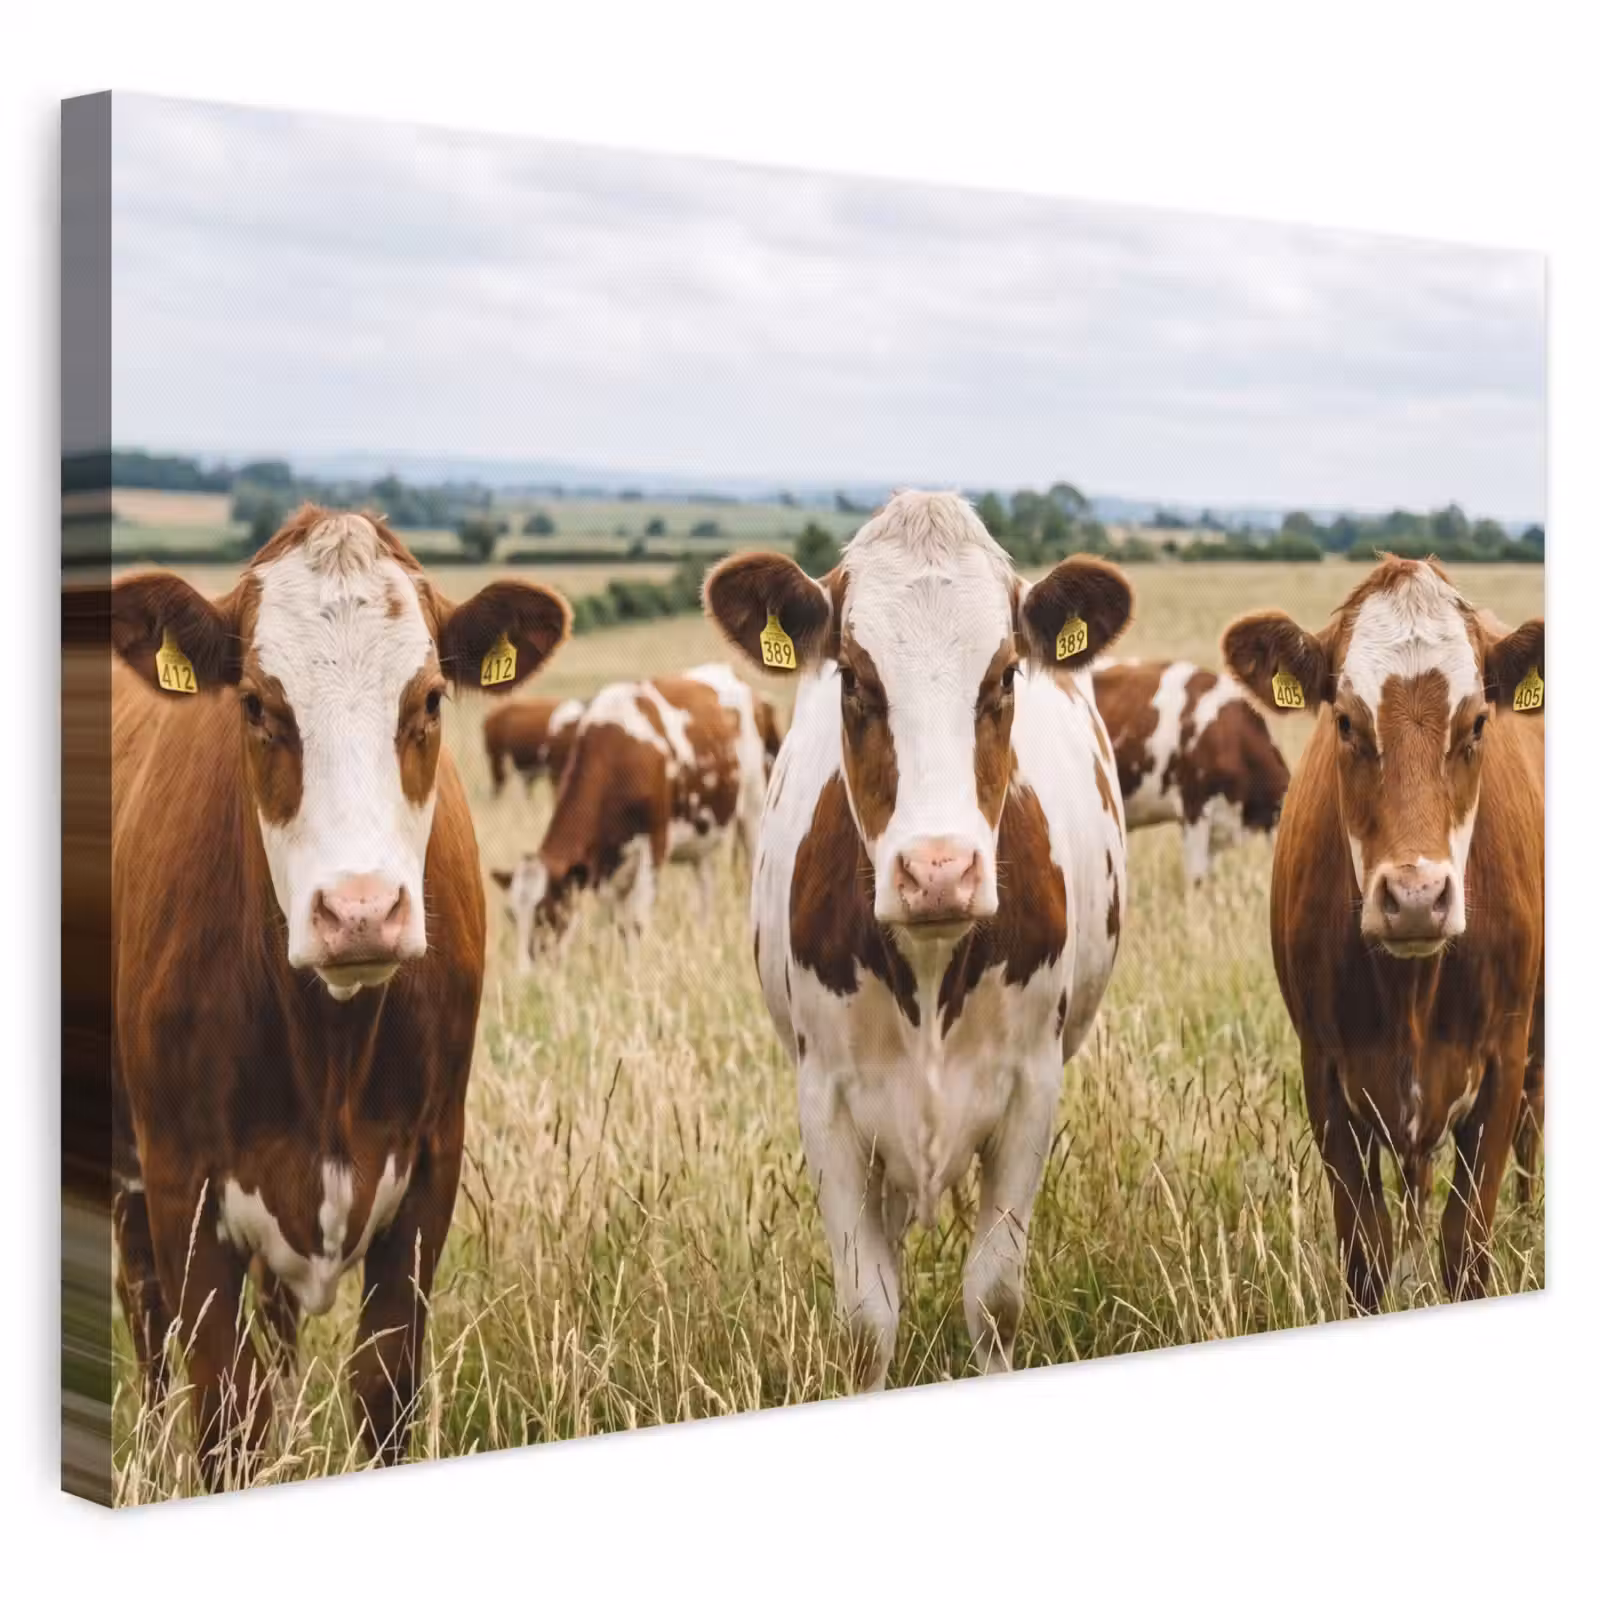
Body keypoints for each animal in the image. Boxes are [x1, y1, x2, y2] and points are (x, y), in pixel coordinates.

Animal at [105, 504, 570, 1484]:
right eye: (255, 703)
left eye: (428, 700)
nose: (360, 911)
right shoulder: (180, 1180)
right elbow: (222, 1408)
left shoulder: (430, 1165)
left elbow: (384, 1386)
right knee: (149, 1321)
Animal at [495, 669, 753, 972]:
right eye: (512, 915)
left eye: (547, 912)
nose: (525, 977)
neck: (618, 753)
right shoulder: (606, 866)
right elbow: (620, 924)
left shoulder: (655, 844)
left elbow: (638, 922)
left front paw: (637, 971)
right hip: (702, 840)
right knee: (706, 893)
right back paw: (704, 941)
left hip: (755, 808)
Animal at [704, 490, 1131, 1388]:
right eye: (856, 679)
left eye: (1002, 676)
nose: (938, 871)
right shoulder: (827, 1102)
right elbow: (869, 1315)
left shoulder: (1031, 1089)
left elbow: (994, 1294)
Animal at [1221, 556, 1543, 1311]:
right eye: (1345, 721)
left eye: (1477, 723)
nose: (1417, 898)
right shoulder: (1326, 1072)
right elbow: (1365, 1253)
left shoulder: (1504, 1060)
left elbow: (1466, 1243)